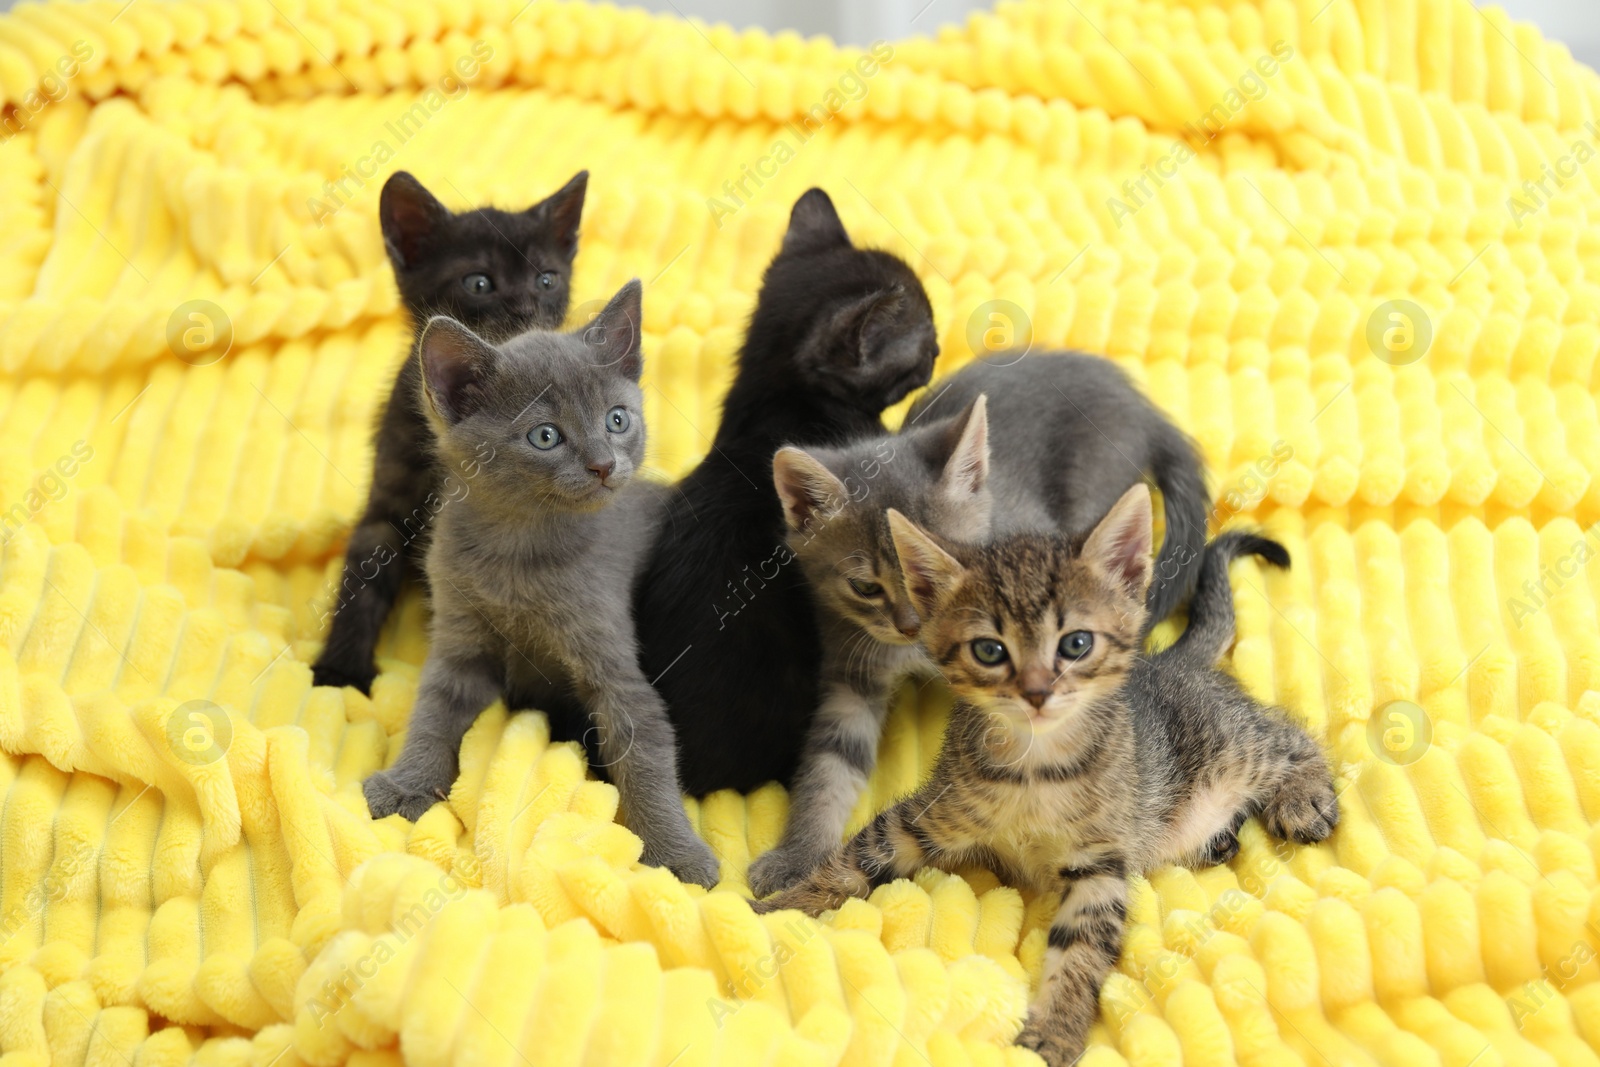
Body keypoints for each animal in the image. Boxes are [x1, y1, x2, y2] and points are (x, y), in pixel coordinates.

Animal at [312, 167, 588, 694]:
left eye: (547, 279)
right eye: (478, 282)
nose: (526, 309)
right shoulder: (386, 505)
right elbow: (361, 583)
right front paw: (340, 670)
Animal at [363, 279, 720, 889]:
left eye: (617, 420)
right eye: (545, 436)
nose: (604, 464)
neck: (518, 551)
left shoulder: (612, 664)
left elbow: (646, 753)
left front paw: (677, 855)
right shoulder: (459, 638)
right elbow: (434, 711)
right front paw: (407, 783)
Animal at [748, 351, 1203, 902]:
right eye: (865, 587)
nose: (913, 626)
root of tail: (1137, 400)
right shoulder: (851, 666)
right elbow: (829, 763)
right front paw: (798, 854)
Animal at [755, 486, 1344, 1067]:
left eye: (1075, 644)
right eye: (989, 650)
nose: (1037, 692)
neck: (1035, 769)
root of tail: (1173, 662)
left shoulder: (1100, 863)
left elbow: (1079, 949)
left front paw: (1055, 1031)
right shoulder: (928, 812)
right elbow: (857, 858)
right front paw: (781, 908)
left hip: (1231, 747)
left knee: (1291, 736)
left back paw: (1304, 797)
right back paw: (1220, 839)